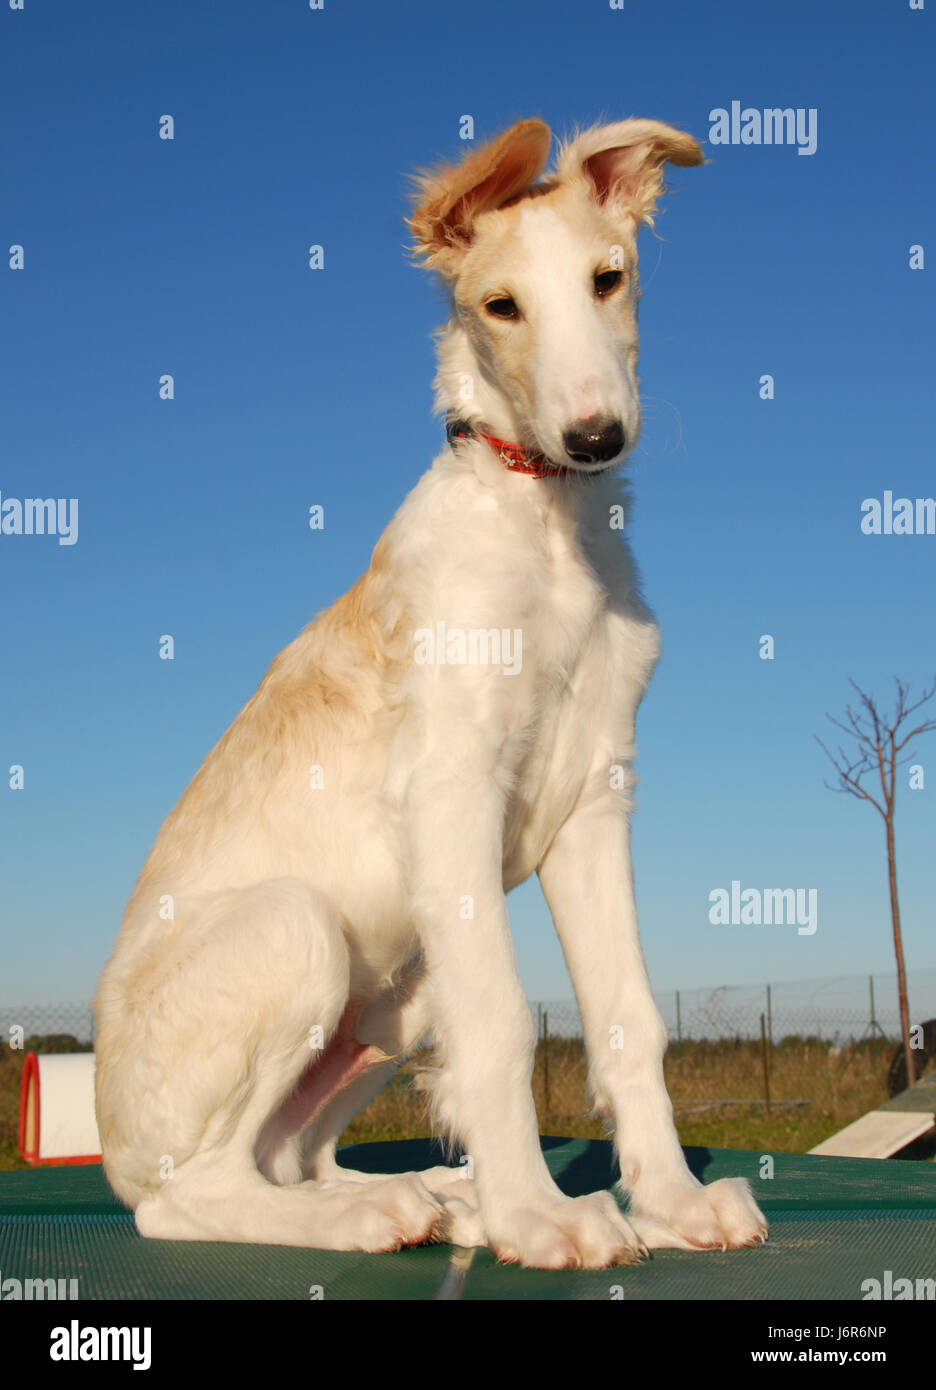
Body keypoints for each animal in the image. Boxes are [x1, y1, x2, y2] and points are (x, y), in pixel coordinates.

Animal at [94, 119, 767, 1273]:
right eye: (500, 305)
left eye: (609, 278)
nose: (595, 437)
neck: (547, 528)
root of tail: (110, 1146)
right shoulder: (453, 788)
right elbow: (501, 1022)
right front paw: (542, 1218)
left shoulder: (596, 798)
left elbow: (630, 1018)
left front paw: (672, 1203)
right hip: (300, 927)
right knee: (186, 1197)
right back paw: (379, 1214)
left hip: (395, 996)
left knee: (290, 1158)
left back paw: (437, 1196)